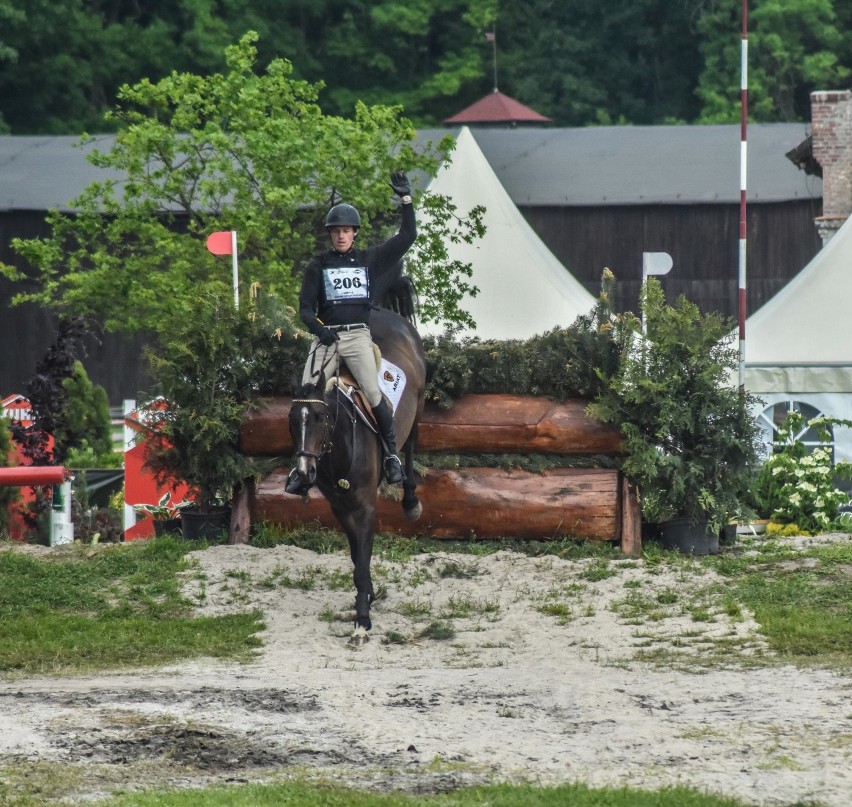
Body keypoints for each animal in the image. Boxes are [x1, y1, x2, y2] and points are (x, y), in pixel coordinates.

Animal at [290, 306, 430, 648]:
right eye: (292, 420)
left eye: (321, 417)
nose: (305, 472)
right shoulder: (340, 507)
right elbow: (357, 558)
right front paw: (364, 598)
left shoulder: (365, 507)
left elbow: (363, 559)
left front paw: (362, 621)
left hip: (417, 406)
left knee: (410, 442)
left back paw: (410, 498)